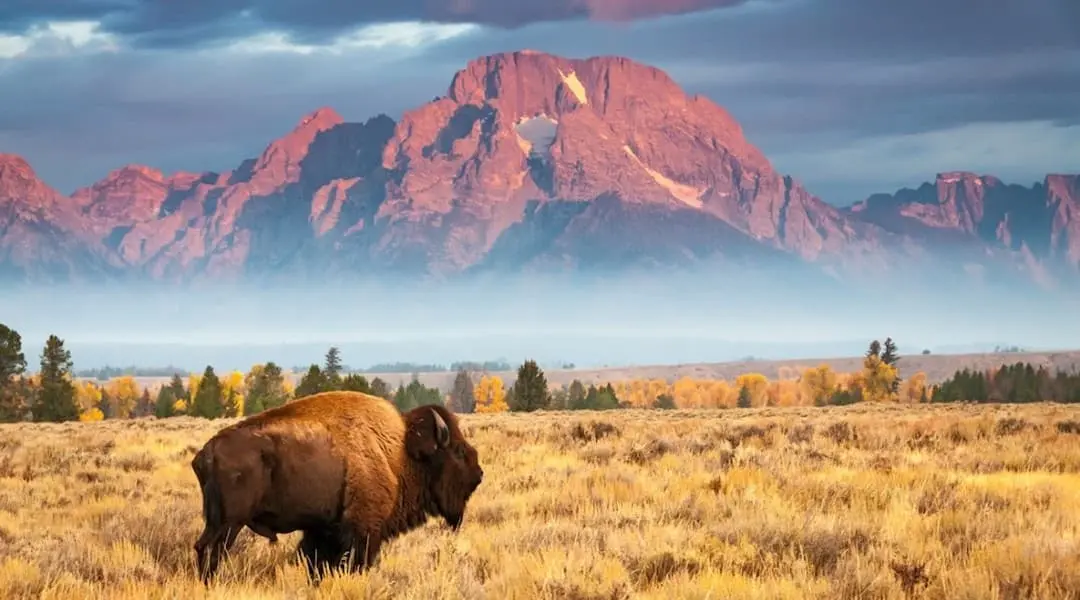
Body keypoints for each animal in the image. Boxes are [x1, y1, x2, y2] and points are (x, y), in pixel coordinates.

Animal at [190, 391, 484, 582]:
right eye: (458, 451)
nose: (479, 474)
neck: (401, 452)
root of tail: (206, 452)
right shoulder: (363, 531)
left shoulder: (322, 530)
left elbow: (315, 563)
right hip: (230, 523)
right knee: (212, 551)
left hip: (217, 521)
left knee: (202, 548)